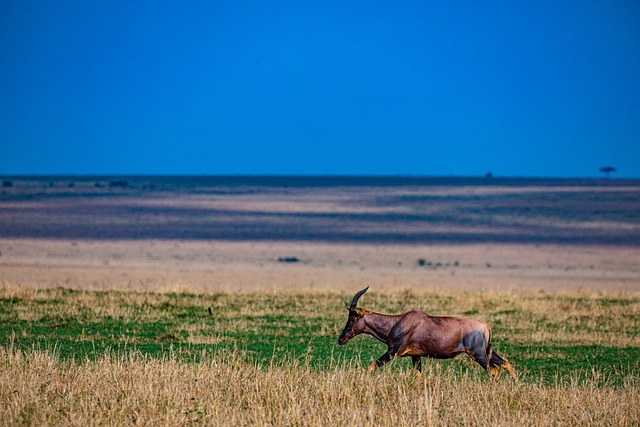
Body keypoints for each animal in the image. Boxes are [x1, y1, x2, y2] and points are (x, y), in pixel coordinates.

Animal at [338, 288, 516, 382]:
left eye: (353, 317)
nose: (341, 339)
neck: (398, 321)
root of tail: (486, 326)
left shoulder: (392, 352)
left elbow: (370, 367)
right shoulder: (415, 356)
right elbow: (417, 375)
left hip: (478, 354)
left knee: (493, 370)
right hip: (486, 352)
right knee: (505, 363)